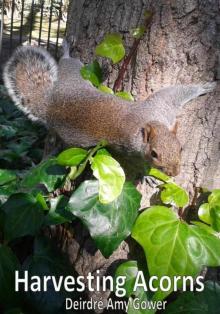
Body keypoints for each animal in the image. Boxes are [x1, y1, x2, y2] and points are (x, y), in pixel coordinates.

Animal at [3, 43, 217, 178]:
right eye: (154, 154)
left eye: (181, 148)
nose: (174, 173)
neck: (150, 122)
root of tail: (51, 103)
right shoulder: (130, 147)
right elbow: (131, 163)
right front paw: (145, 176)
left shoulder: (162, 108)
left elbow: (175, 92)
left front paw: (204, 87)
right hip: (73, 81)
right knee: (67, 62)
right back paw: (65, 50)